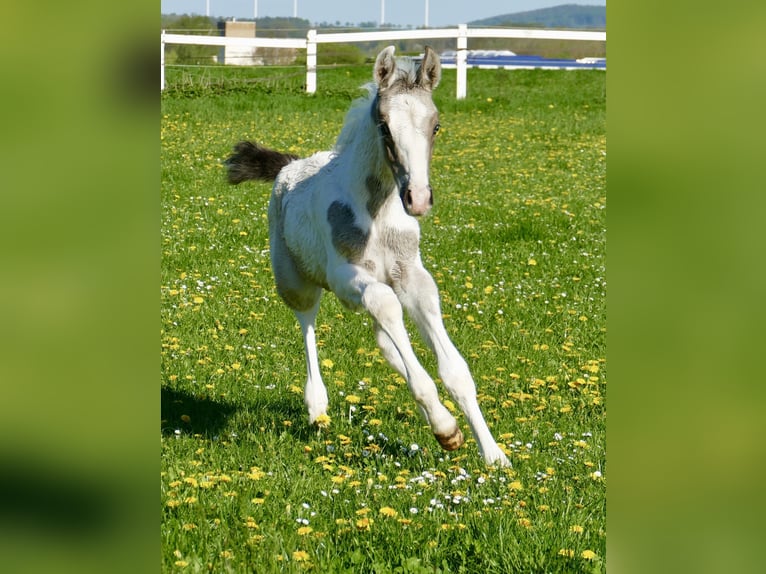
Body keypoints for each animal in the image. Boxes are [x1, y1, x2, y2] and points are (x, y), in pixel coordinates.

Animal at [225, 46, 509, 466]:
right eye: (385, 126)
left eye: (436, 125)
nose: (418, 199)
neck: (377, 212)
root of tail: (290, 165)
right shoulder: (347, 278)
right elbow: (386, 305)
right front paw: (445, 427)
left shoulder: (411, 275)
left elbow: (455, 369)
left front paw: (493, 454)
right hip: (294, 282)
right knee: (308, 323)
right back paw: (317, 406)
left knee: (386, 343)